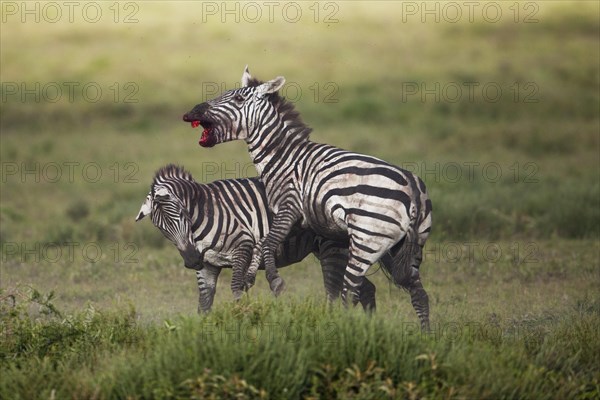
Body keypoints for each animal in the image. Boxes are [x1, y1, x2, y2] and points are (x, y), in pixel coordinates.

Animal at [136, 164, 376, 310]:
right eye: (160, 228)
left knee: (336, 291)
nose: (192, 261)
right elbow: (204, 304)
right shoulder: (207, 266)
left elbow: (236, 290)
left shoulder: (243, 247)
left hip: (332, 248)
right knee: (364, 289)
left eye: (182, 214)